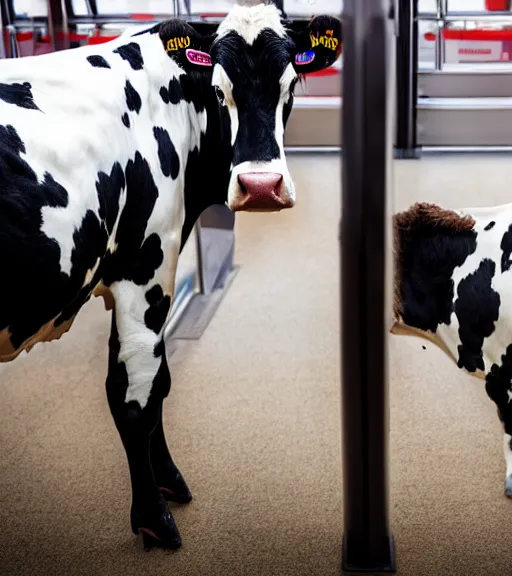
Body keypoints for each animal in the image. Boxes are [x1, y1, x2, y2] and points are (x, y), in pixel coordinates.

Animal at [1, 3, 344, 552]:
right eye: (219, 88)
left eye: (290, 83)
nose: (261, 186)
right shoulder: (144, 268)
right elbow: (135, 396)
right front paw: (152, 517)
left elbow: (156, 380)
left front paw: (168, 479)